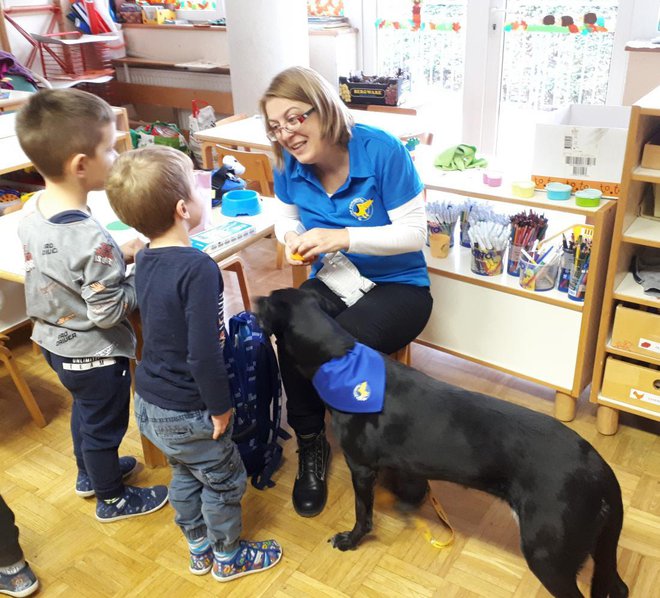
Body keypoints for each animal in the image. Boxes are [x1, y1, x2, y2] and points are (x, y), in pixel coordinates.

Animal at [255, 288, 628, 596]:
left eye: (268, 299)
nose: (253, 301)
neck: (341, 360)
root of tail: (602, 473)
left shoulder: (360, 467)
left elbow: (364, 514)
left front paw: (352, 539)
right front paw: (409, 501)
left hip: (547, 554)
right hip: (601, 549)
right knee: (618, 586)